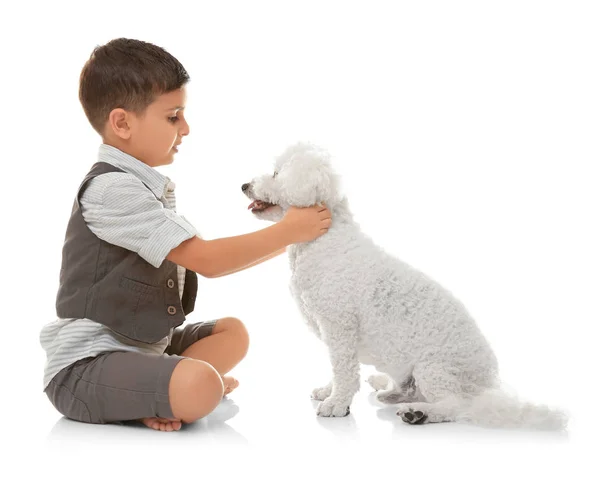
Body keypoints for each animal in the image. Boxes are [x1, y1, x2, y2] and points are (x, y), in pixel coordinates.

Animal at [240, 142, 568, 430]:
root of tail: (490, 386)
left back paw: (418, 414)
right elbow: (337, 368)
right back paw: (390, 392)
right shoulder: (335, 335)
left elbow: (344, 371)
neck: (323, 238)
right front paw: (328, 391)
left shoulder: (339, 327)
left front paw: (337, 404)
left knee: (456, 407)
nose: (244, 185)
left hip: (435, 369)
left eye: (276, 173)